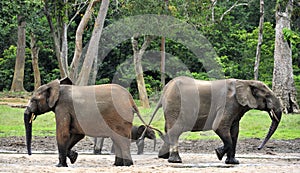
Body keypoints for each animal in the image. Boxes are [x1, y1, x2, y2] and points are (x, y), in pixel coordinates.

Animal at [151, 76, 282, 164]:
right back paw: (175, 161)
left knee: (168, 130)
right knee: (175, 130)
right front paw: (218, 153)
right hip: (175, 104)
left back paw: (163, 157)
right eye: (267, 97)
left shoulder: (236, 107)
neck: (245, 82)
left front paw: (233, 162)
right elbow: (219, 126)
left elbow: (234, 132)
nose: (258, 148)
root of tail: (165, 88)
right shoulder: (228, 104)